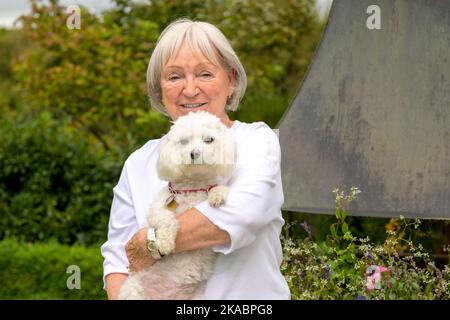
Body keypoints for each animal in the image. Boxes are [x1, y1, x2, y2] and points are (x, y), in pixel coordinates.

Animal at [119, 110, 239, 300]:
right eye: (184, 141)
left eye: (209, 140)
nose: (194, 153)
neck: (192, 187)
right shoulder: (156, 210)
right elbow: (167, 219)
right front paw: (165, 242)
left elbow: (219, 187)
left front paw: (217, 194)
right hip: (134, 291)